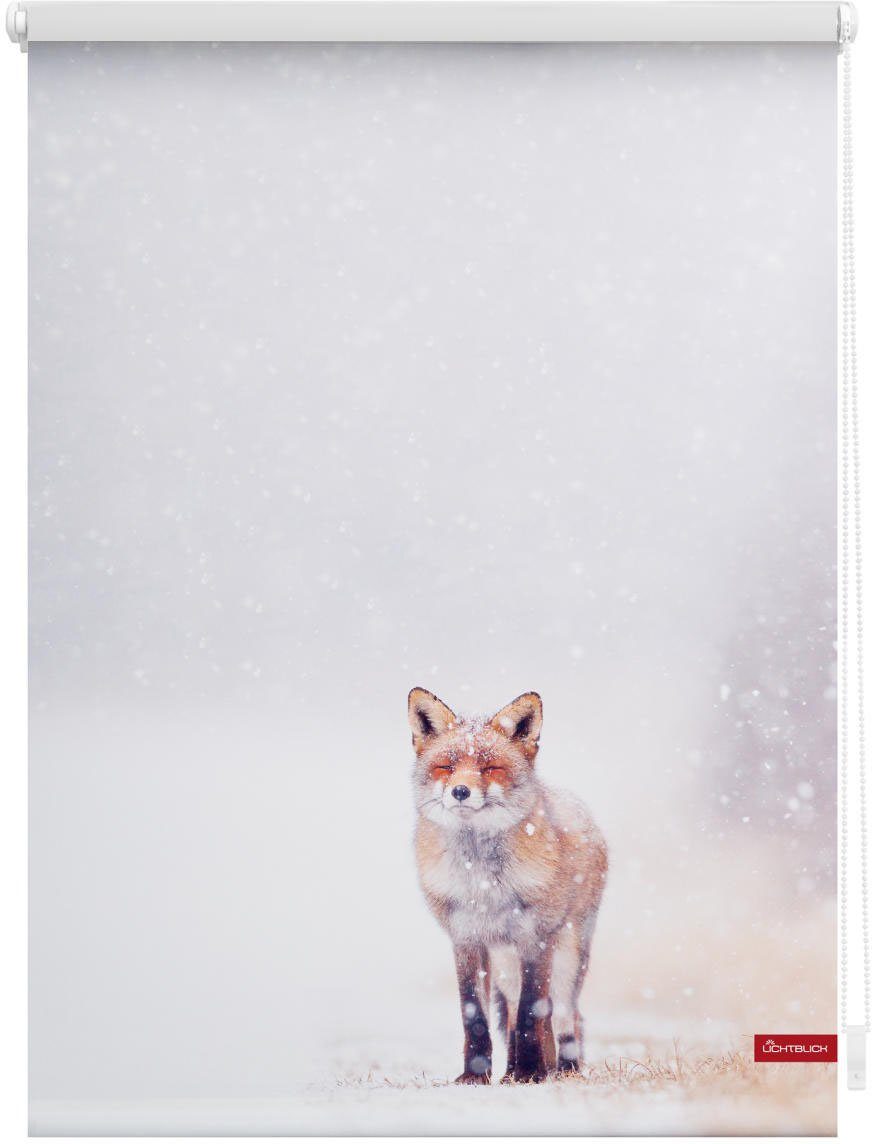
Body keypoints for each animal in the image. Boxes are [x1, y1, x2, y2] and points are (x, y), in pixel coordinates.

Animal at [409, 687, 607, 1085]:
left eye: (490, 769)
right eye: (446, 767)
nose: (460, 791)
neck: (482, 882)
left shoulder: (536, 937)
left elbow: (534, 1011)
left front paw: (532, 1073)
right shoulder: (466, 939)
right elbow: (476, 1015)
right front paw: (475, 1076)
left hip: (567, 954)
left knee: (566, 1015)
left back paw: (561, 1070)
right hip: (504, 961)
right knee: (514, 1012)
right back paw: (512, 1070)